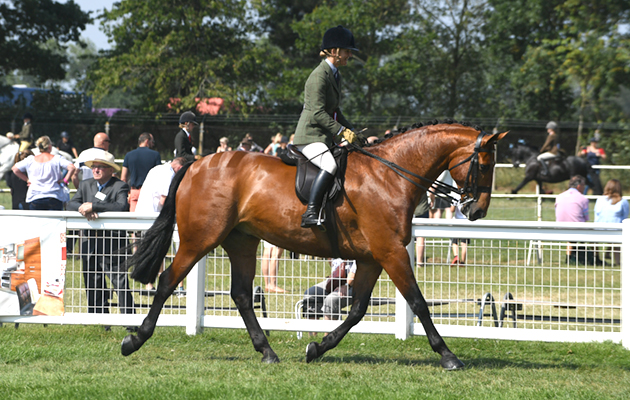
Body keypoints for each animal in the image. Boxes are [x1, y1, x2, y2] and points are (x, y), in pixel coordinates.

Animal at [122, 122, 508, 370]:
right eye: (484, 163)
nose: (477, 211)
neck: (390, 175)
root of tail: (195, 164)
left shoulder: (372, 258)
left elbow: (356, 310)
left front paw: (316, 348)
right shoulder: (391, 252)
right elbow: (418, 303)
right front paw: (449, 356)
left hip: (242, 241)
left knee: (242, 295)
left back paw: (267, 352)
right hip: (200, 239)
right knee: (167, 281)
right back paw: (135, 339)